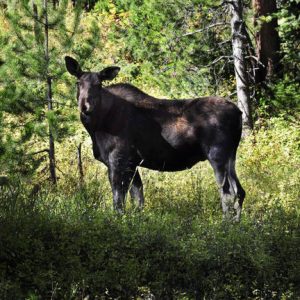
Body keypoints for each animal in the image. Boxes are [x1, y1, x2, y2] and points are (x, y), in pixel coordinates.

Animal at [64, 55, 245, 220]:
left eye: (99, 85)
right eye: (78, 83)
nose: (85, 106)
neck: (97, 126)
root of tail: (239, 113)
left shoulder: (118, 159)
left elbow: (118, 200)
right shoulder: (132, 163)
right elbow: (137, 199)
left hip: (217, 155)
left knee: (227, 192)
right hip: (231, 156)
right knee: (240, 191)